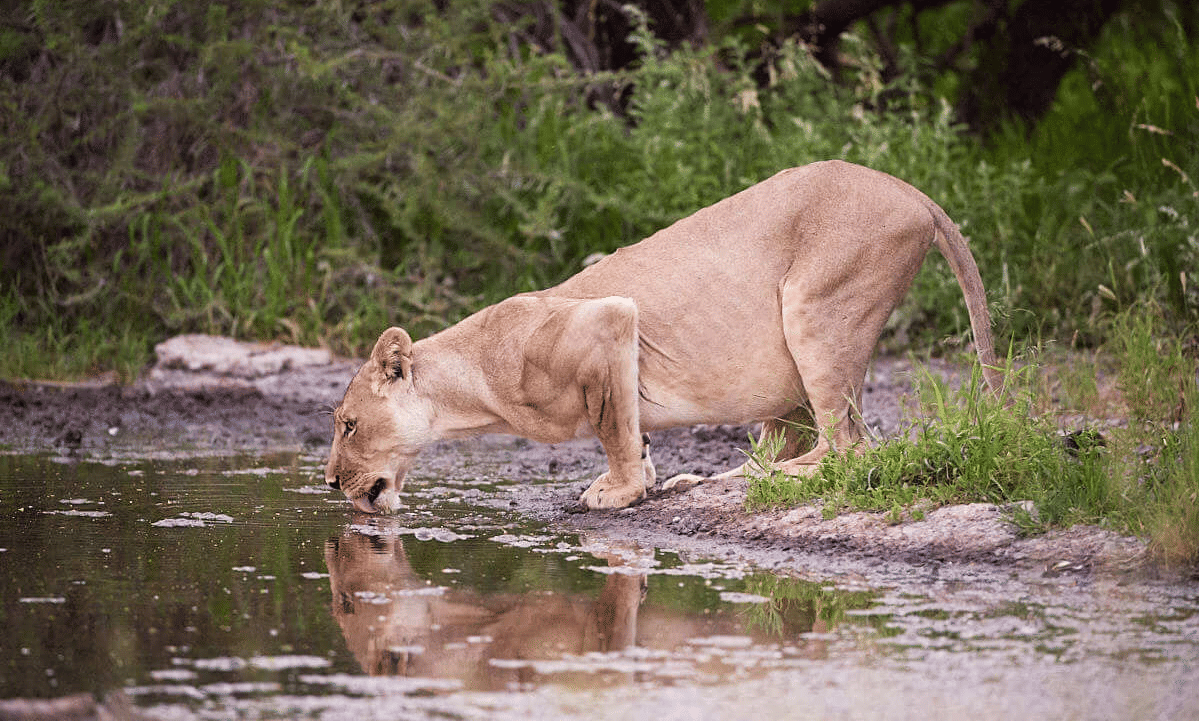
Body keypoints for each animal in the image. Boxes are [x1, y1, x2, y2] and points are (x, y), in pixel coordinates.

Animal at [325, 160, 1001, 514]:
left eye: (349, 425)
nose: (329, 483)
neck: (472, 393)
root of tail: (911, 191)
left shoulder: (607, 321)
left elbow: (613, 429)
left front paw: (617, 491)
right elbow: (631, 428)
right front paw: (649, 478)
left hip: (814, 308)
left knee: (850, 449)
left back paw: (763, 480)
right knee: (791, 441)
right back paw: (706, 480)